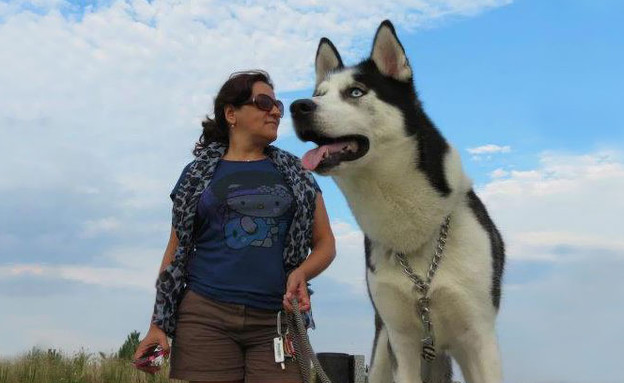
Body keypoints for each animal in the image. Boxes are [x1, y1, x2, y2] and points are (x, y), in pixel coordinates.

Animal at [290, 21, 504, 383]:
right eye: (319, 94)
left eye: (356, 92)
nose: (297, 106)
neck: (415, 236)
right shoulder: (401, 342)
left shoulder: (480, 337)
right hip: (380, 354)